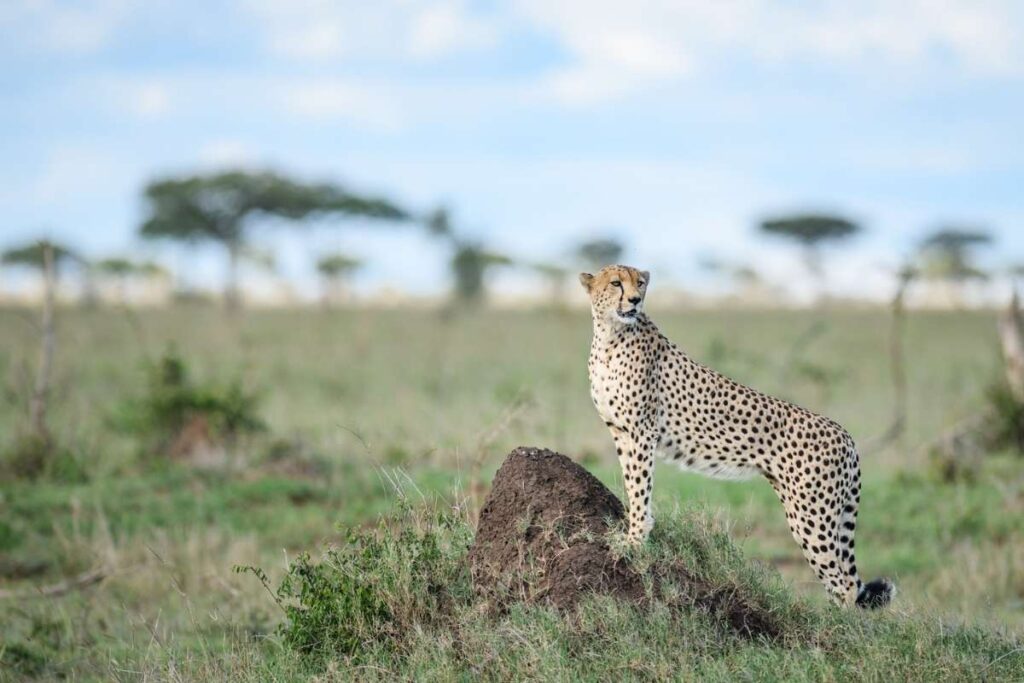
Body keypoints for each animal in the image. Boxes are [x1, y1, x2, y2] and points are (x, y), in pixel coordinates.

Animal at [580, 264, 894, 608]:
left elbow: (639, 487)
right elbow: (632, 485)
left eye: (640, 283)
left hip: (812, 516)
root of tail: (845, 433)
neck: (610, 334)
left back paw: (835, 623)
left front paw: (635, 540)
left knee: (845, 583)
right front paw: (634, 530)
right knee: (842, 578)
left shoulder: (642, 432)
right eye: (616, 283)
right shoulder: (621, 432)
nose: (635, 300)